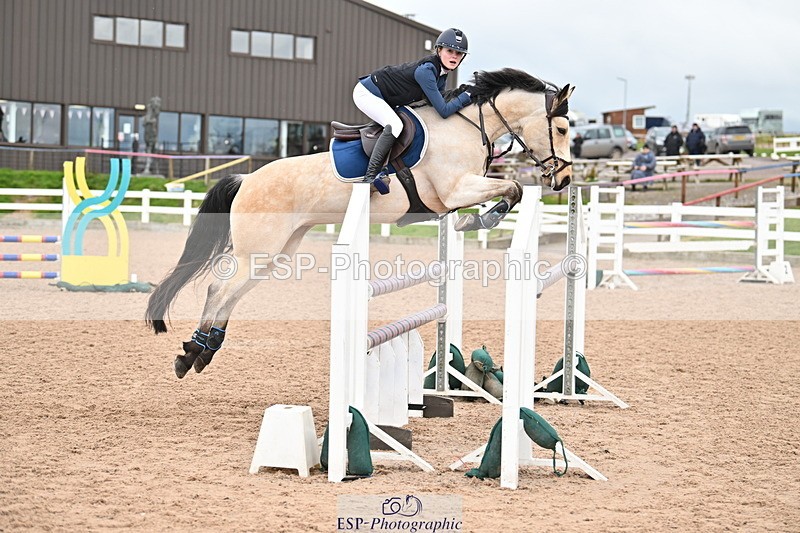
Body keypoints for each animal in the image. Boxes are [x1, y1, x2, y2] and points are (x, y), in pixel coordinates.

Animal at [146, 68, 575, 378]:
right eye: (562, 129)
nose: (566, 180)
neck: (467, 128)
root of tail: (247, 179)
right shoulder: (455, 190)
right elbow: (513, 188)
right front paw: (480, 220)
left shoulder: (455, 194)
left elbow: (510, 189)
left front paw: (474, 221)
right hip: (259, 251)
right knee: (219, 288)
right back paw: (192, 353)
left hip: (278, 253)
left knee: (232, 294)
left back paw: (203, 352)